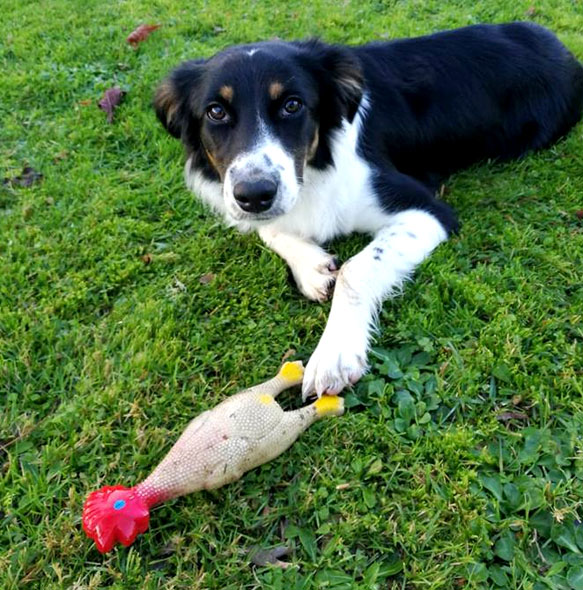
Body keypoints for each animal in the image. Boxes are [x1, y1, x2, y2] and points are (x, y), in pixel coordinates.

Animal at [152, 23, 583, 402]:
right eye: (216, 112)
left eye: (292, 105)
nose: (255, 195)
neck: (317, 163)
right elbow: (269, 229)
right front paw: (311, 267)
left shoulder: (425, 208)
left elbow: (356, 269)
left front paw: (334, 354)